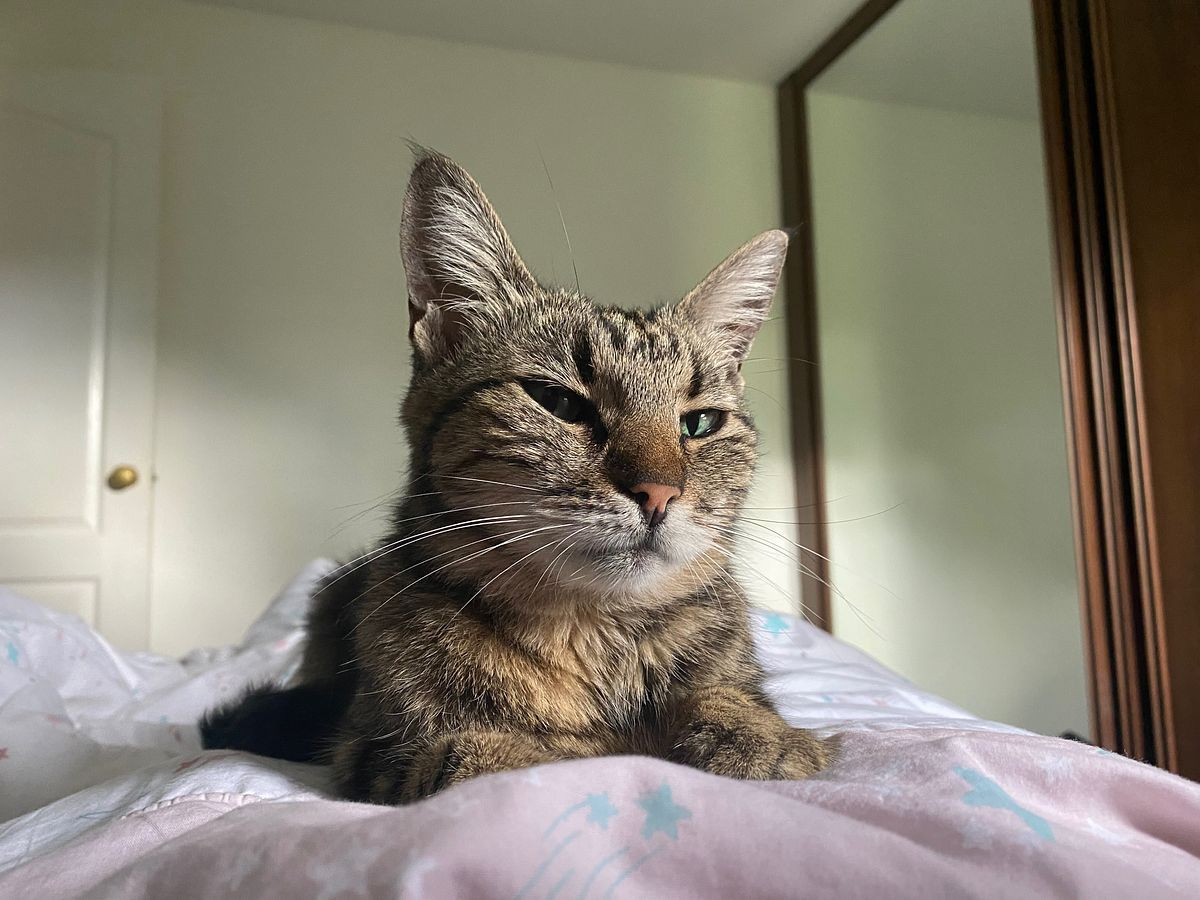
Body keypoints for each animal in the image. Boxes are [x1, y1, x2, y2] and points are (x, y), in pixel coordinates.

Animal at [201, 153, 830, 801]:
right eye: (559, 402)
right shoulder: (382, 749)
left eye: (700, 422)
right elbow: (519, 756)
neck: (591, 635)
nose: (659, 492)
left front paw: (759, 733)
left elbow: (729, 700)